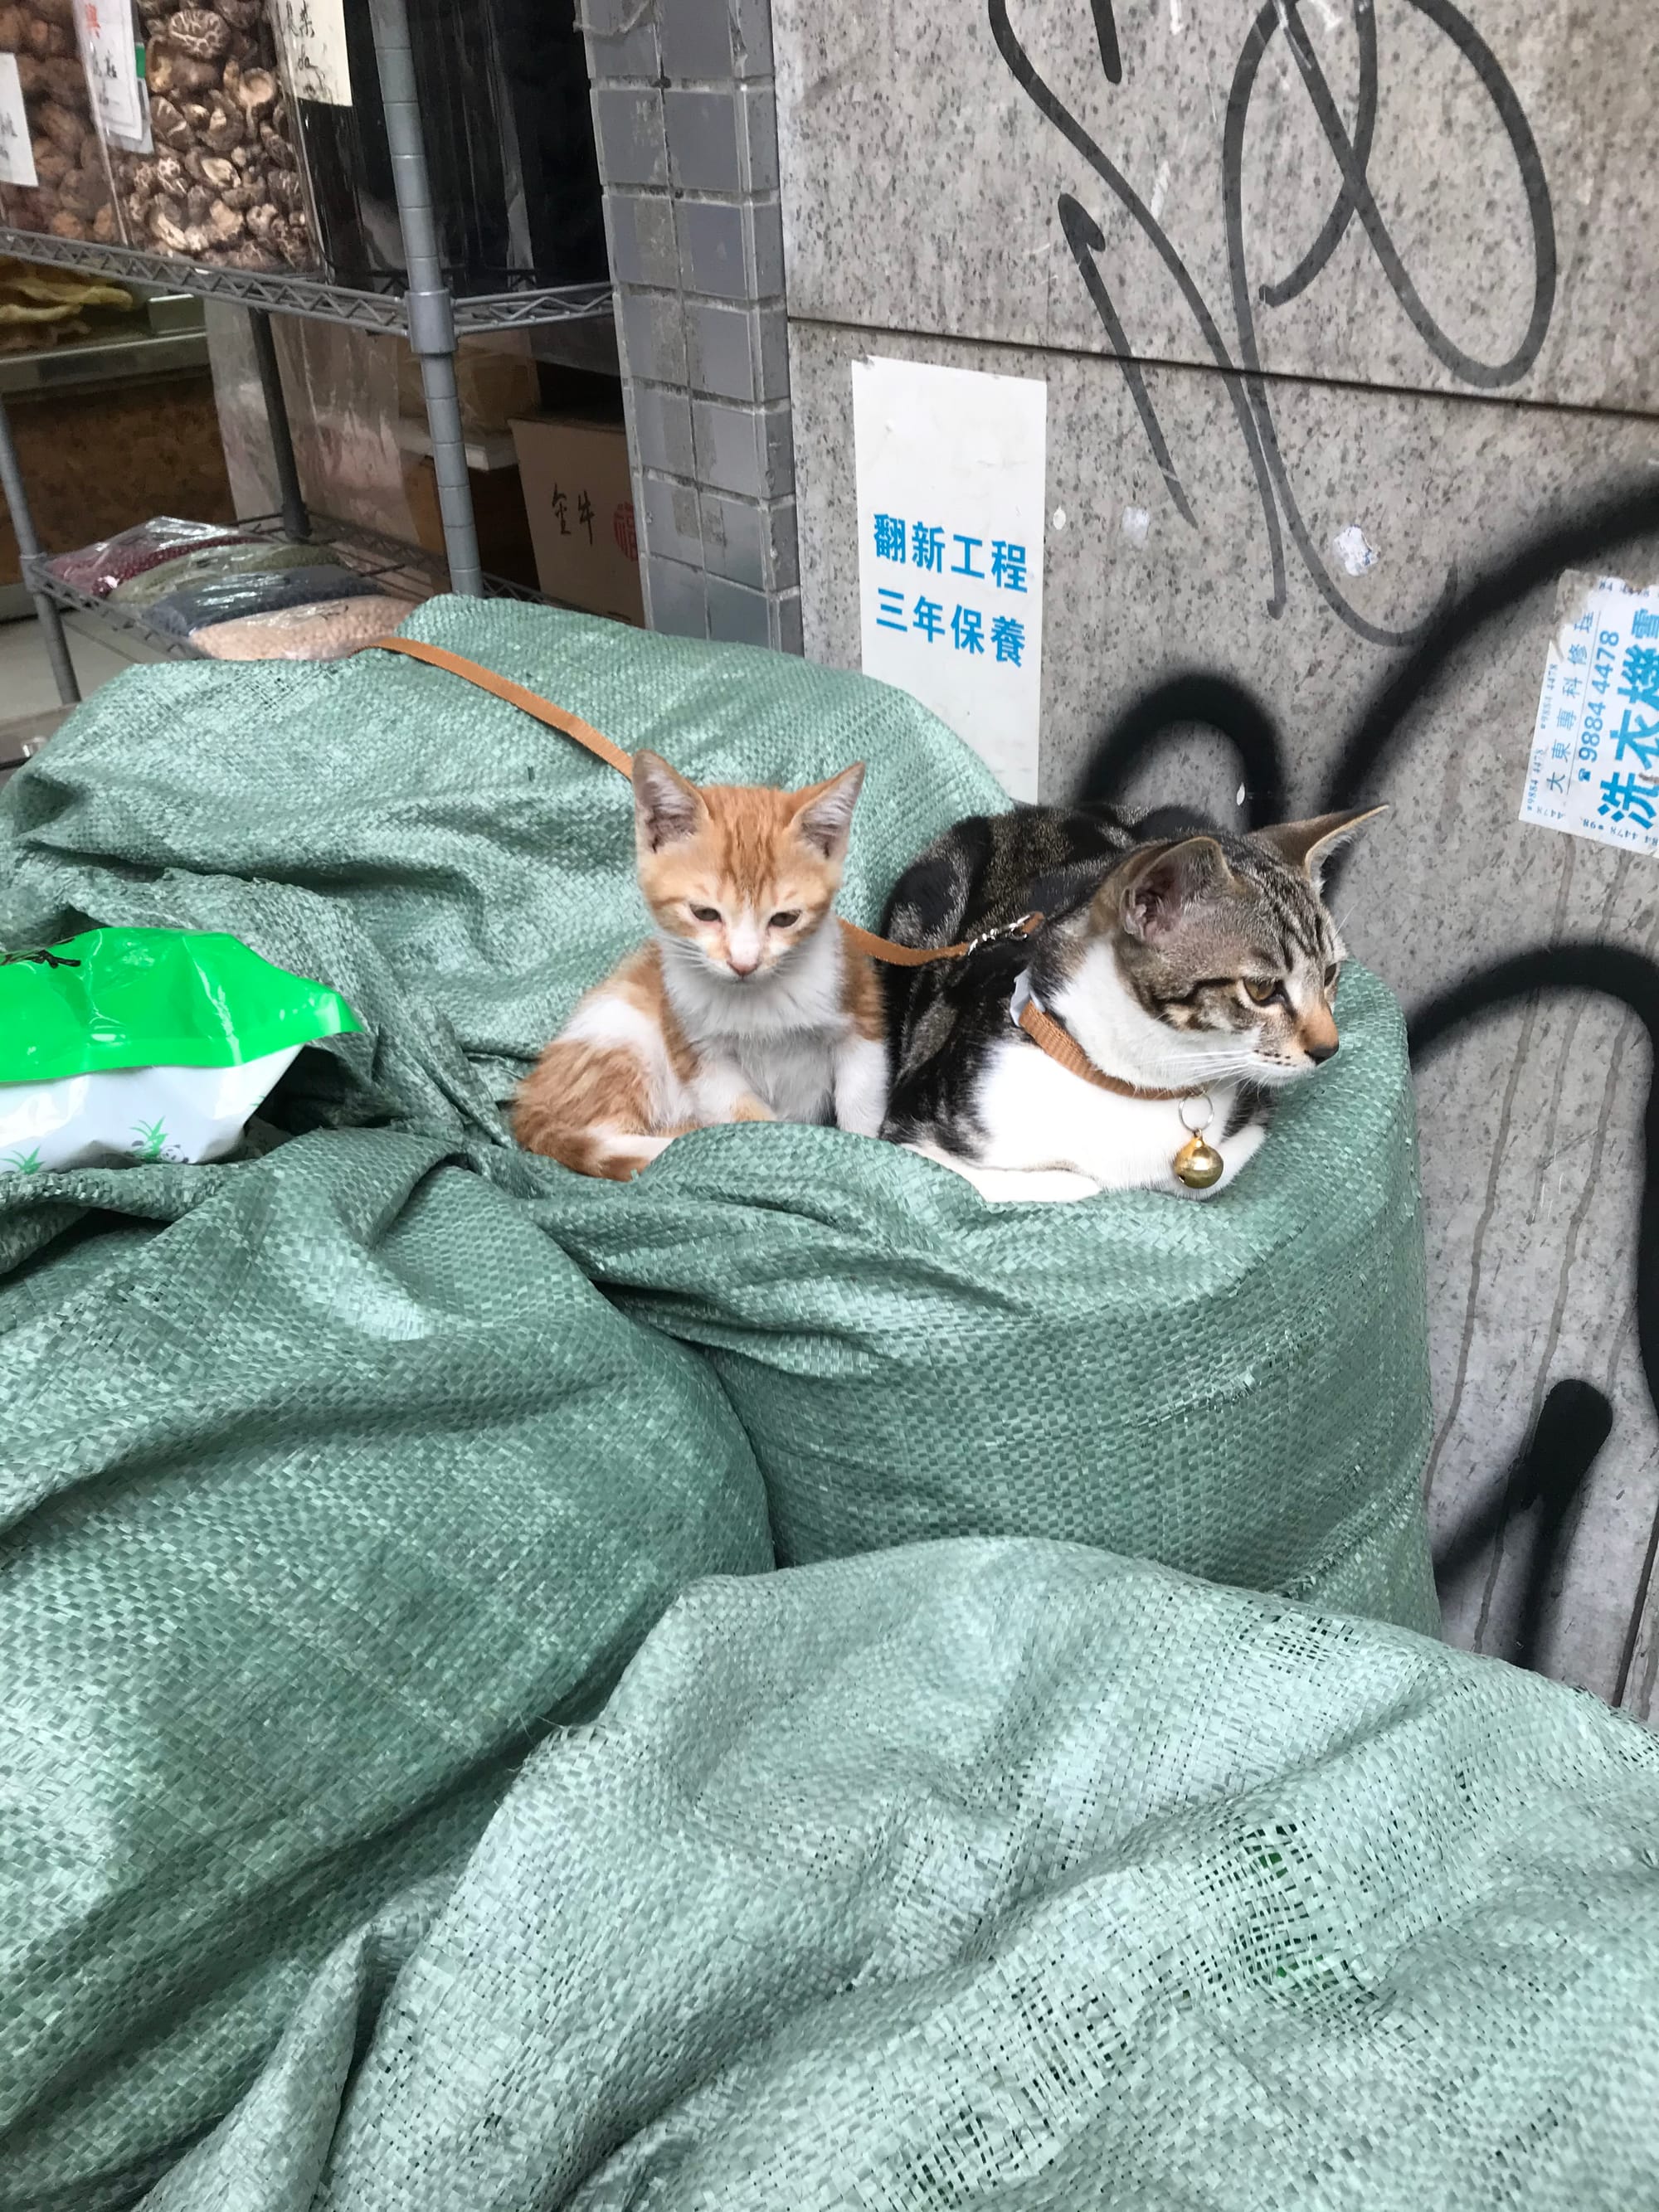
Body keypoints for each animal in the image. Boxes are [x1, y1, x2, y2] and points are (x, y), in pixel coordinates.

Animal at [518, 751, 884, 1185]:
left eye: (785, 919)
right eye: (705, 913)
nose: (744, 963)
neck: (756, 1001)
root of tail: (531, 1101)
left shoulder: (858, 1008)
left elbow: (862, 1099)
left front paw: (866, 1151)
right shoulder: (698, 1052)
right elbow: (745, 1117)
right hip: (621, 1033)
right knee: (602, 1134)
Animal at [884, 805, 1389, 1203]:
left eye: (1329, 974)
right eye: (1262, 990)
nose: (1328, 1048)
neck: (1135, 1080)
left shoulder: (1248, 1128)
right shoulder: (909, 1131)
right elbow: (1071, 1181)